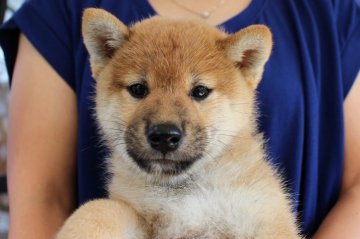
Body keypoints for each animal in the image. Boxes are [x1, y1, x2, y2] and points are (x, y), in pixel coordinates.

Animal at [57, 8, 304, 238]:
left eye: (200, 91)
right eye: (138, 89)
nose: (164, 136)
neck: (184, 193)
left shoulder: (263, 216)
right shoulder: (139, 216)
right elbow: (96, 209)